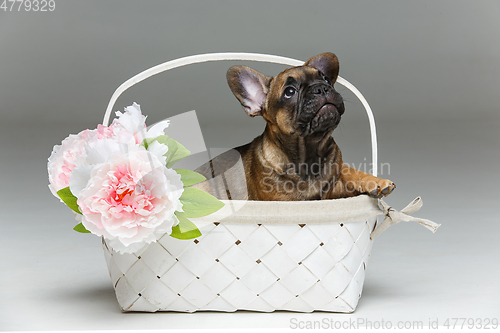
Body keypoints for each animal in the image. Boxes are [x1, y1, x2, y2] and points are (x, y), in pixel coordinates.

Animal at [194, 52, 394, 200]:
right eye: (290, 92)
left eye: (326, 79)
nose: (321, 88)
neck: (310, 152)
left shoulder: (333, 187)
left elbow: (350, 171)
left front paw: (376, 181)